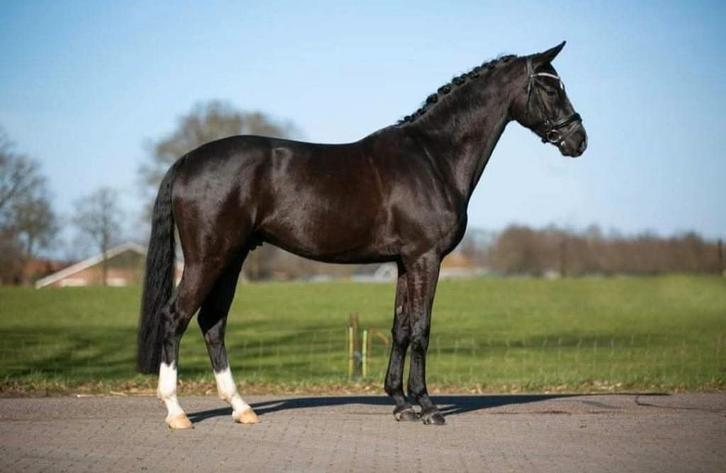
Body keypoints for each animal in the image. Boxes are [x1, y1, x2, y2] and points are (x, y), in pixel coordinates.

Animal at [137, 41, 587, 429]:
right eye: (550, 87)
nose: (578, 140)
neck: (433, 157)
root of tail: (187, 160)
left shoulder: (405, 262)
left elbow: (400, 328)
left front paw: (401, 403)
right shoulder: (426, 258)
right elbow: (421, 329)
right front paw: (428, 406)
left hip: (231, 259)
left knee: (212, 323)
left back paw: (241, 407)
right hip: (207, 259)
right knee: (175, 317)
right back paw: (176, 412)